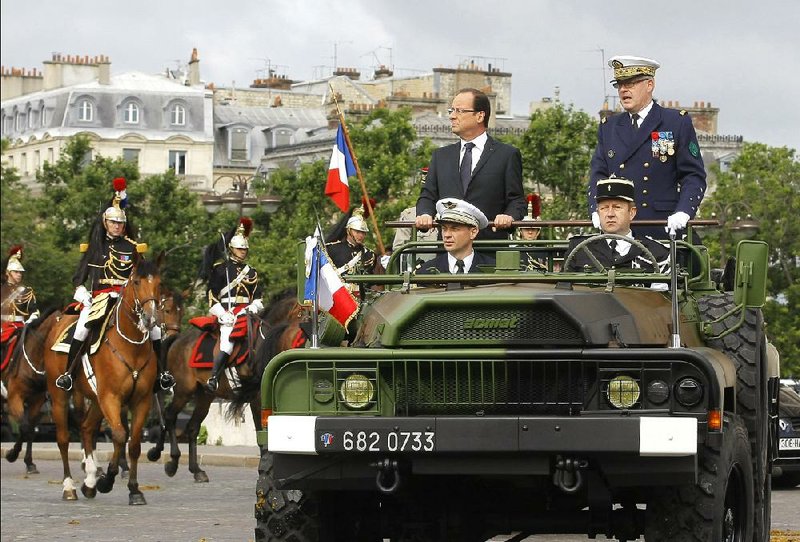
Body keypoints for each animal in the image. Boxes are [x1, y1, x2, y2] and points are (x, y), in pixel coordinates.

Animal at [44, 260, 163, 506]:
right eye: (137, 282)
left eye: (159, 283)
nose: (150, 319)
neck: (132, 346)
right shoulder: (111, 397)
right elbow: (119, 435)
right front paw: (107, 480)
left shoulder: (141, 400)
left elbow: (134, 444)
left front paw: (134, 490)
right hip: (60, 395)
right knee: (63, 439)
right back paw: (69, 487)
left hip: (97, 401)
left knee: (87, 428)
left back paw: (89, 481)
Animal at [145, 294, 304, 484]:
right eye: (303, 313)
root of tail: (178, 338)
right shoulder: (257, 397)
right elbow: (263, 435)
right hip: (184, 391)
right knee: (169, 415)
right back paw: (171, 461)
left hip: (205, 395)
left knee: (192, 427)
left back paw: (196, 470)